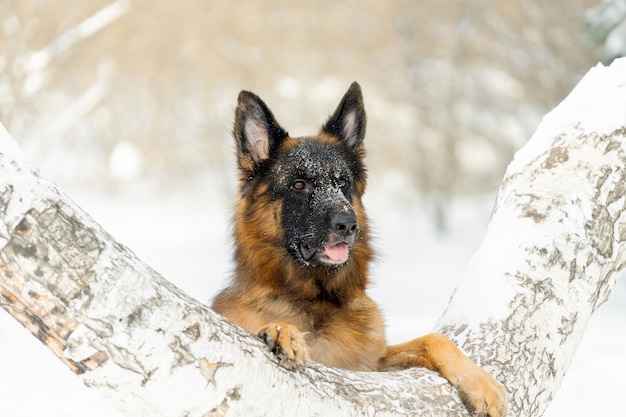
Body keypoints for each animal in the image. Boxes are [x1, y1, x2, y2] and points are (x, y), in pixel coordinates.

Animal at [212, 83, 504, 414]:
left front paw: (483, 384)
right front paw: (282, 331)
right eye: (299, 185)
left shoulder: (370, 368)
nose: (348, 225)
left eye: (342, 182)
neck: (316, 299)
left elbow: (434, 339)